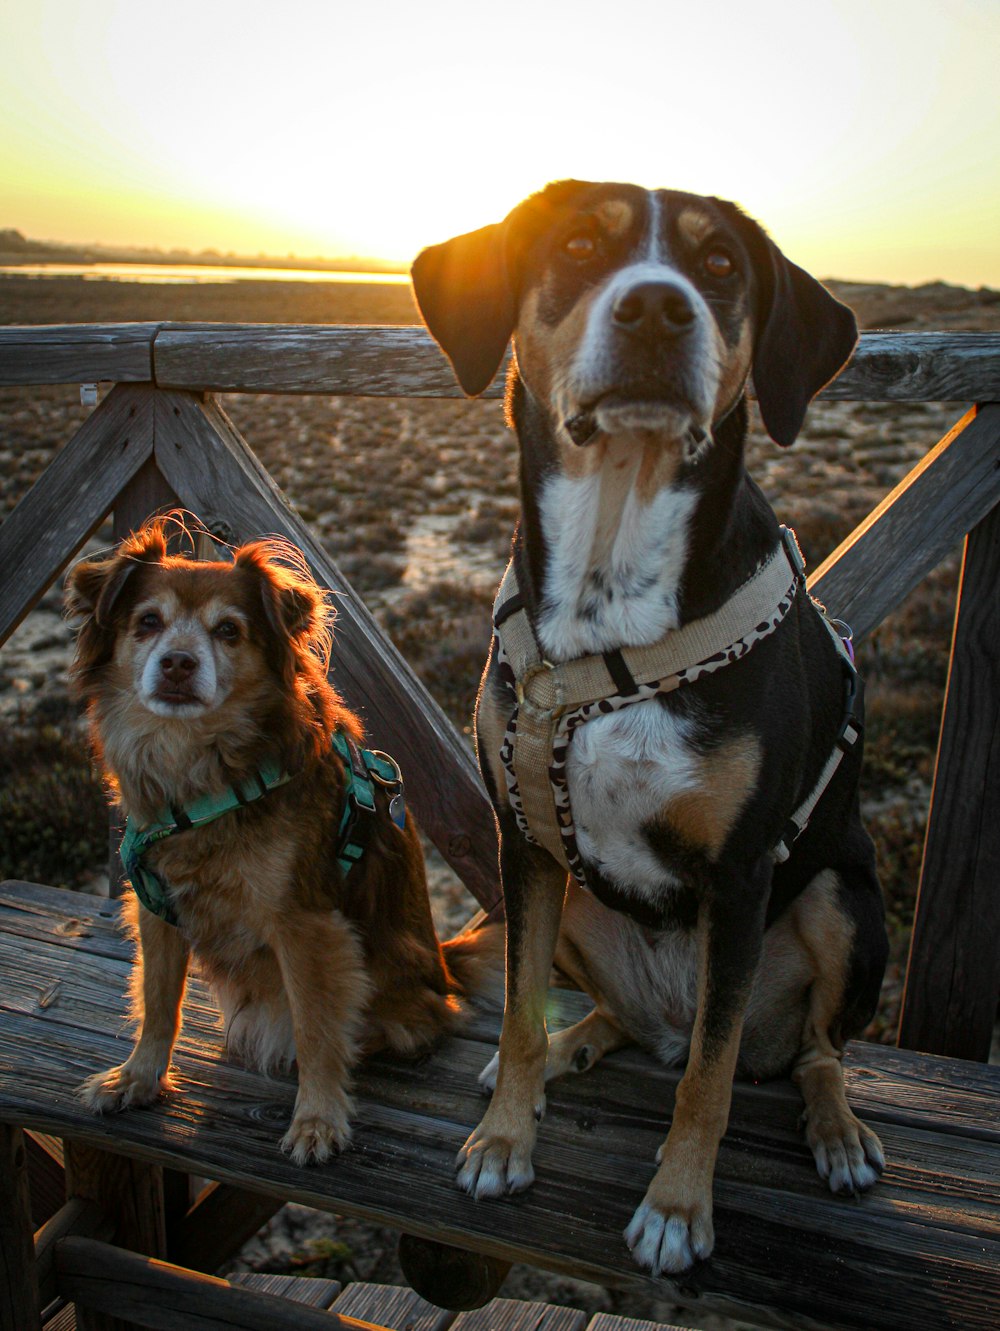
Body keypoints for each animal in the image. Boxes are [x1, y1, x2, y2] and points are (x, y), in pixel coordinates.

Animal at [66, 519, 498, 1165]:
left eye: (228, 630)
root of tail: (443, 965)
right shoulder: (156, 908)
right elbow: (157, 1001)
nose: (176, 664)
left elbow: (316, 1029)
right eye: (147, 622)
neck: (200, 772)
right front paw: (138, 1078)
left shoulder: (304, 923)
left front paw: (317, 1119)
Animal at [410, 182, 889, 1272]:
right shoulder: (524, 845)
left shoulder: (741, 873)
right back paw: (580, 1042)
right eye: (583, 245)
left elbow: (709, 1079)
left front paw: (676, 1206)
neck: (612, 585)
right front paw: (504, 1135)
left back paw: (836, 1130)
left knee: (810, 1050)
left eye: (718, 268)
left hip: (844, 901)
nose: (660, 310)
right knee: (616, 1020)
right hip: (580, 907)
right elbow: (515, 1021)